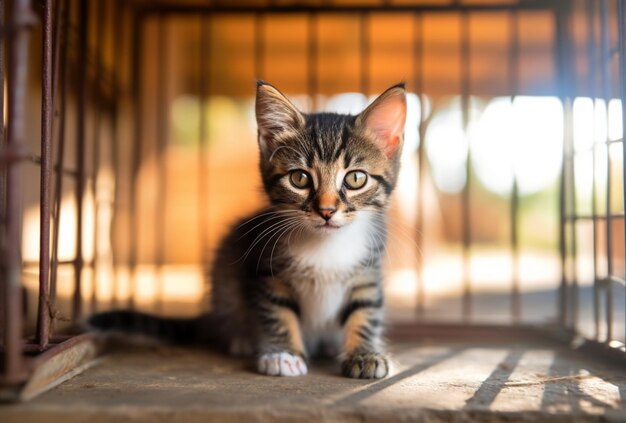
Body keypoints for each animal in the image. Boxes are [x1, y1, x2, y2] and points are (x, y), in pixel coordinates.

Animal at [90, 81, 408, 380]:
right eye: (299, 178)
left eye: (355, 179)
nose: (327, 210)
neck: (326, 245)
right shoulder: (266, 268)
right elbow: (277, 311)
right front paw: (282, 354)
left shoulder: (368, 270)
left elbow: (365, 311)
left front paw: (365, 354)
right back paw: (242, 338)